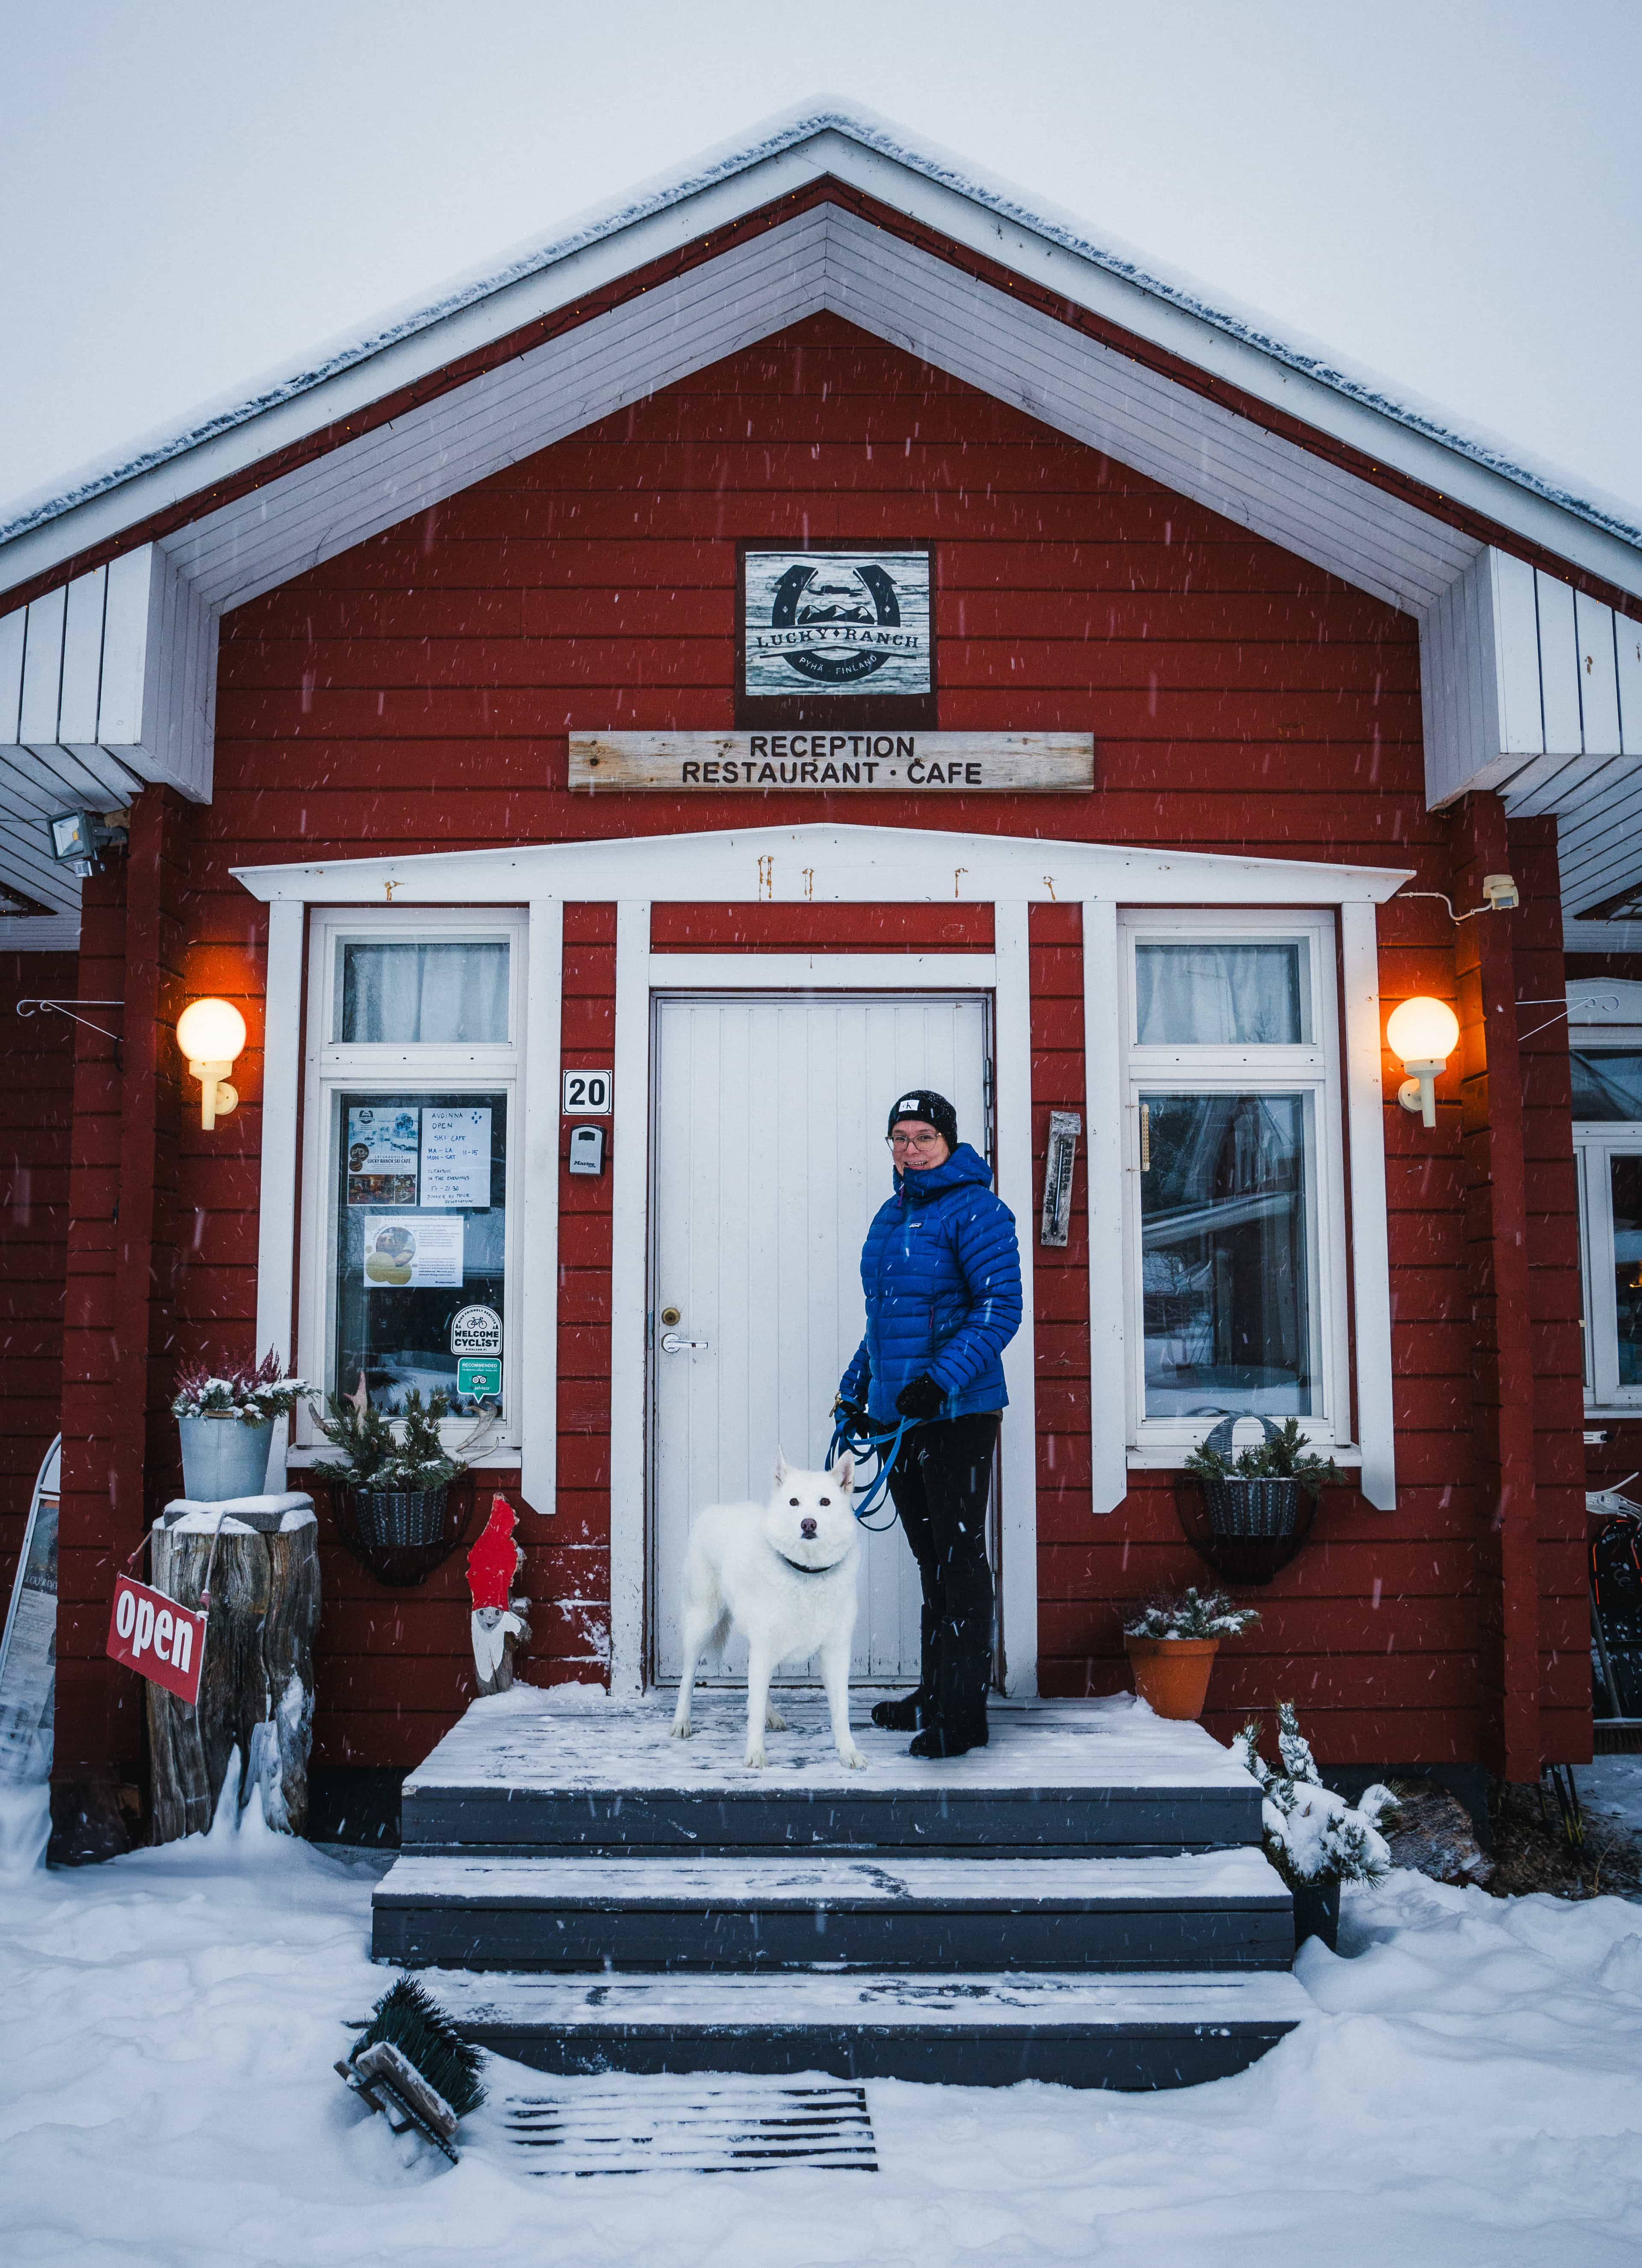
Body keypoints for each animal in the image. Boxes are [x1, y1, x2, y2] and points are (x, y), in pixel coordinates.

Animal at [671, 1451, 866, 1769]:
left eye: (825, 1502)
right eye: (794, 1502)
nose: (808, 1524)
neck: (805, 1574)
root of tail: (714, 1509)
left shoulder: (836, 1652)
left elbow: (841, 1712)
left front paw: (849, 1753)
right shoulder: (764, 1647)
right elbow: (753, 1713)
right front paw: (755, 1754)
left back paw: (771, 1714)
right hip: (701, 1622)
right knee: (688, 1677)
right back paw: (681, 1722)